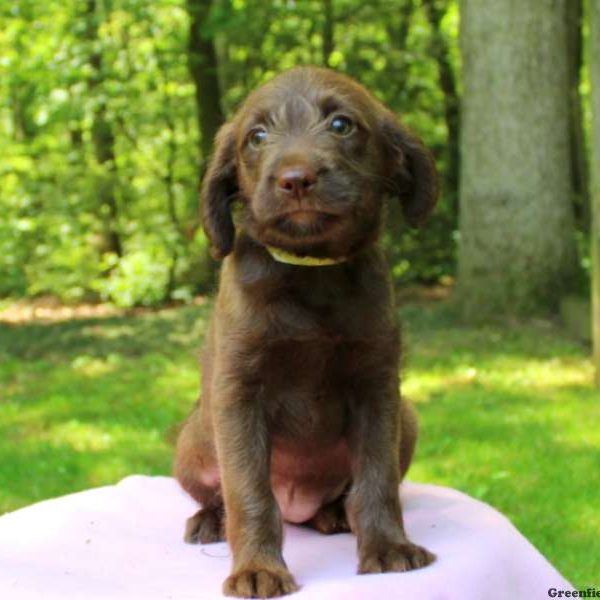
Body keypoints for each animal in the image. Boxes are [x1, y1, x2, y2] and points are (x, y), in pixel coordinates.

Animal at [173, 65, 436, 596]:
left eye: (341, 125)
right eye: (256, 136)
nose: (295, 180)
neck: (312, 272)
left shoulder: (378, 386)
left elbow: (377, 480)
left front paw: (387, 547)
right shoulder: (237, 392)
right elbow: (249, 493)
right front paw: (258, 568)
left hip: (409, 419)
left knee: (348, 493)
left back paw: (335, 513)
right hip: (192, 437)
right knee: (220, 495)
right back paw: (210, 520)